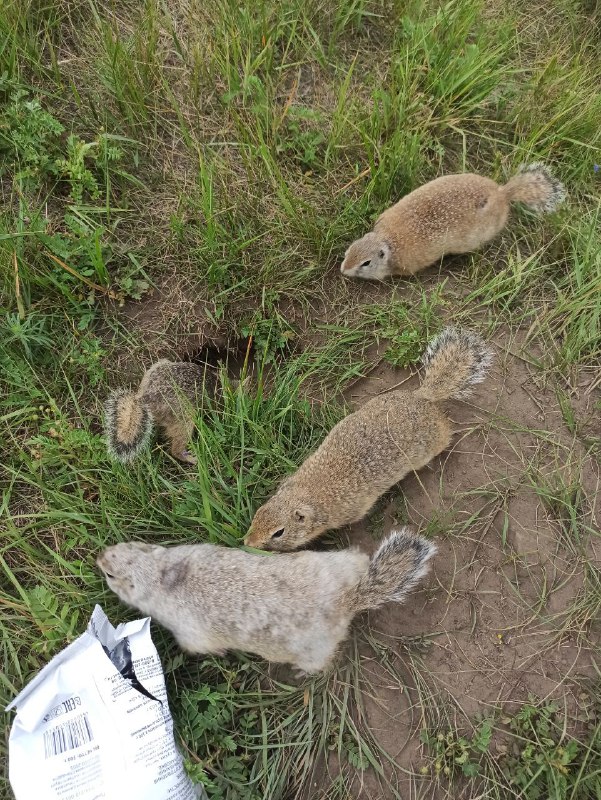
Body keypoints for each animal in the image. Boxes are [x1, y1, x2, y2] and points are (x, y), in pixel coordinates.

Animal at [97, 528, 436, 674]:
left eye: (111, 575)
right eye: (127, 544)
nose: (100, 556)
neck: (164, 575)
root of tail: (348, 599)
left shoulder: (187, 632)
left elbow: (199, 646)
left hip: (313, 650)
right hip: (333, 563)